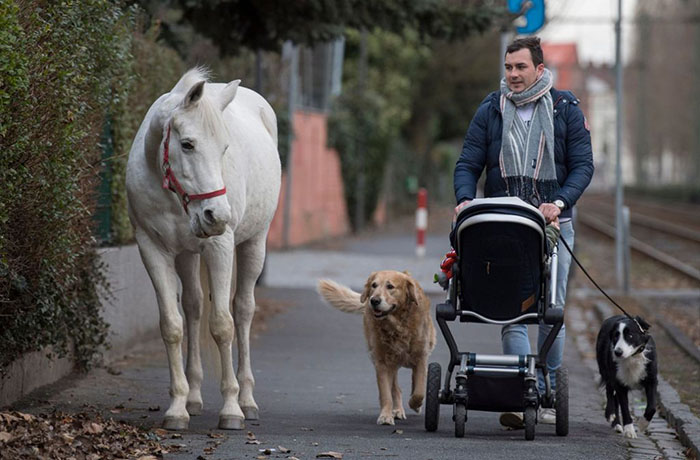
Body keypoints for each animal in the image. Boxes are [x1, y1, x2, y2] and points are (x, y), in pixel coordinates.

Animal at [127, 69, 280, 432]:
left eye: (225, 147)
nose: (217, 216)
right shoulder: (151, 248)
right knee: (194, 307)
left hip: (254, 243)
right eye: (187, 144)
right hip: (187, 255)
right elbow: (172, 326)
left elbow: (223, 325)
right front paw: (177, 408)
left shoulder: (219, 247)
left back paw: (247, 399)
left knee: (243, 310)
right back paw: (194, 398)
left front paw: (231, 410)